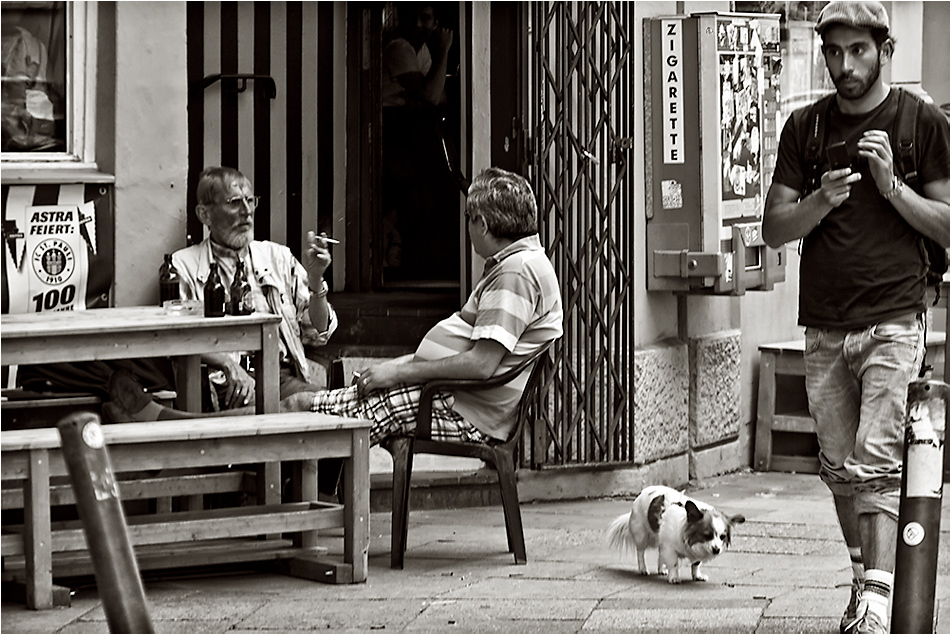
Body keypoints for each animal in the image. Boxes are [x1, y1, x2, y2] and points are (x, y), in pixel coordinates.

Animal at [608, 486, 744, 588]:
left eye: (722, 537)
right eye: (707, 535)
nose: (716, 550)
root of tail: (642, 493)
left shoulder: (678, 548)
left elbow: (696, 564)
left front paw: (697, 575)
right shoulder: (670, 548)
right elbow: (674, 564)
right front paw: (674, 577)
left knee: (660, 554)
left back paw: (661, 569)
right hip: (642, 536)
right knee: (640, 553)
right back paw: (643, 569)